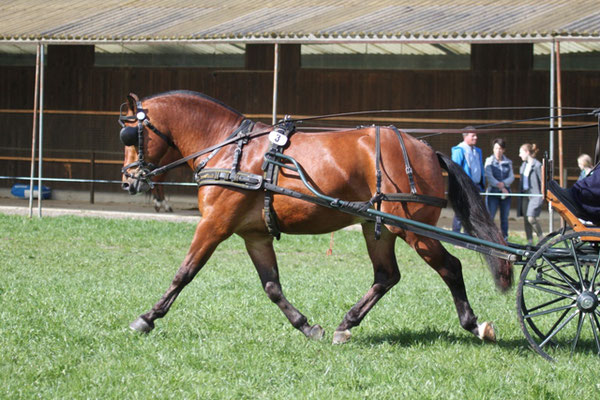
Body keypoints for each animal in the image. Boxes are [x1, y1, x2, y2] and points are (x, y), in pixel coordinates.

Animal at [120, 90, 510, 344]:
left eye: (129, 134)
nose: (128, 180)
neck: (229, 149)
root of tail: (425, 148)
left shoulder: (214, 225)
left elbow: (184, 272)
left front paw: (146, 318)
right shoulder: (255, 235)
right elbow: (272, 286)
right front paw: (306, 326)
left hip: (413, 228)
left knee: (450, 267)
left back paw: (474, 325)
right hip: (379, 228)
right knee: (386, 275)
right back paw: (346, 324)